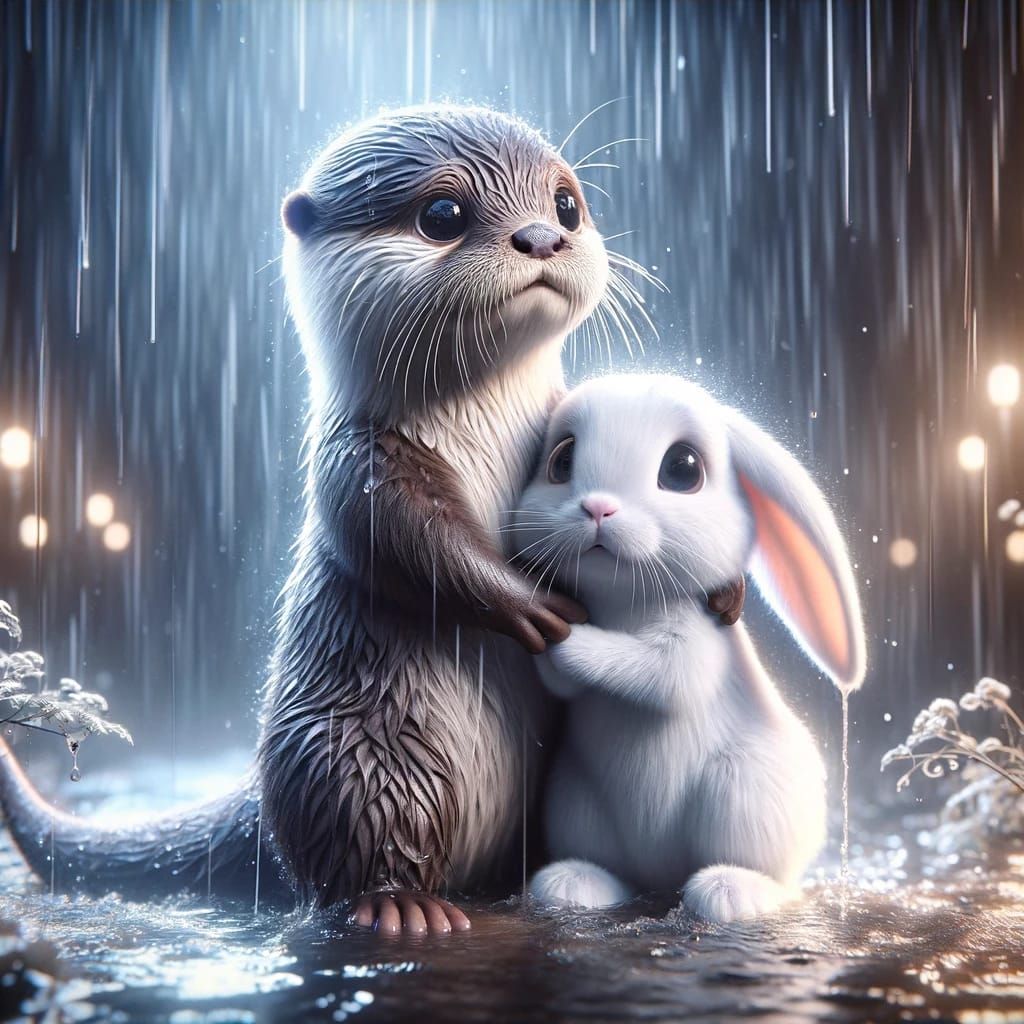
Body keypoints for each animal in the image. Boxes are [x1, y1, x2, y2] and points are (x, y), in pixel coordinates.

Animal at [0, 105, 742, 933]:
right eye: (443, 214)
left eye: (566, 206)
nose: (542, 237)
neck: (484, 425)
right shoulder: (358, 465)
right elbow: (414, 548)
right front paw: (535, 606)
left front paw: (718, 588)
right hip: (349, 751)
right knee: (352, 845)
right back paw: (403, 905)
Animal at [510, 373, 866, 924]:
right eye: (561, 461)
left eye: (683, 470)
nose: (597, 508)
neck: (624, 604)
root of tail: (662, 874)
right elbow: (566, 684)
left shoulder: (694, 647)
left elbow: (656, 673)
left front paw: (569, 639)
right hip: (578, 804)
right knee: (613, 868)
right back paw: (574, 884)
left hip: (744, 792)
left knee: (770, 877)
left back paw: (731, 892)